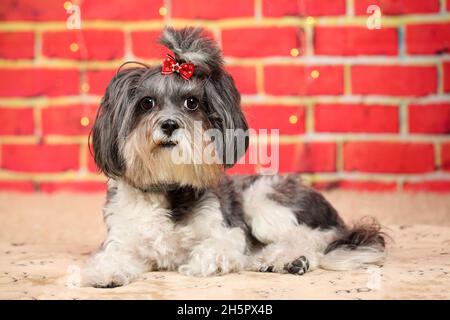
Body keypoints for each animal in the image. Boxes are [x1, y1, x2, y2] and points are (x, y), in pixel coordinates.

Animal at [81, 26, 386, 288]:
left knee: (311, 237)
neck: (168, 186)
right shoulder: (122, 238)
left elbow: (218, 247)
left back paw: (287, 259)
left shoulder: (227, 229)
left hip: (263, 202)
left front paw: (202, 262)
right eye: (147, 103)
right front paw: (104, 272)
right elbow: (112, 256)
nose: (168, 124)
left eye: (192, 103)